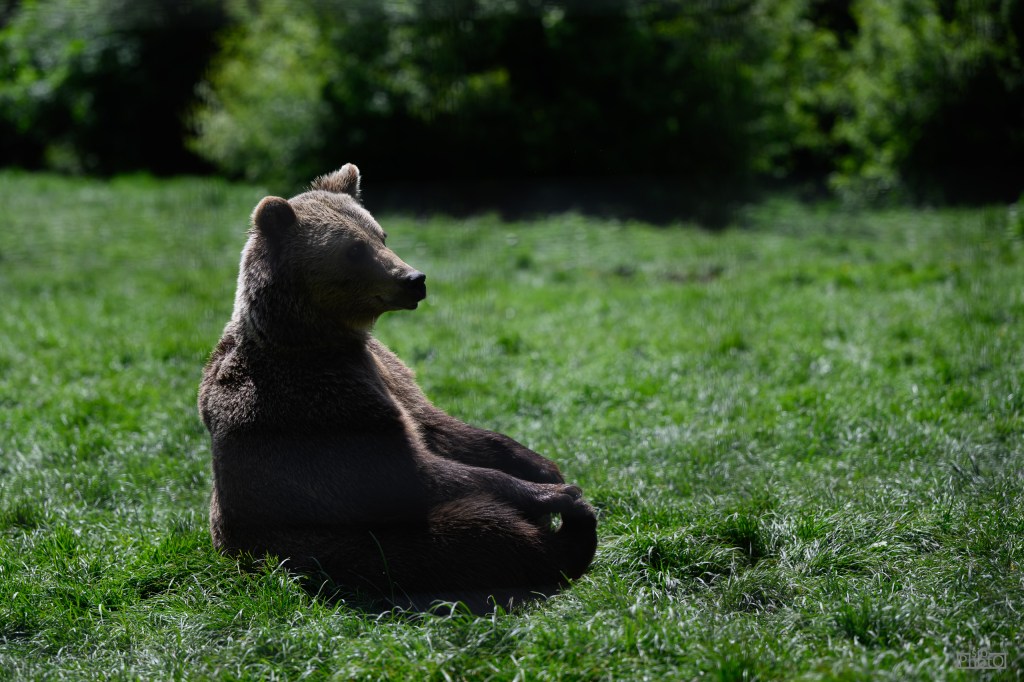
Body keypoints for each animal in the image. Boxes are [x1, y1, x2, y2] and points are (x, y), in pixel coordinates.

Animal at [198, 164, 597, 611]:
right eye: (354, 249)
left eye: (381, 234)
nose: (414, 278)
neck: (316, 337)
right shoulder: (322, 405)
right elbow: (408, 474)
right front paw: (559, 493)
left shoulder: (388, 374)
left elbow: (442, 428)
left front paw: (544, 467)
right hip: (329, 547)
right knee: (473, 532)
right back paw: (572, 534)